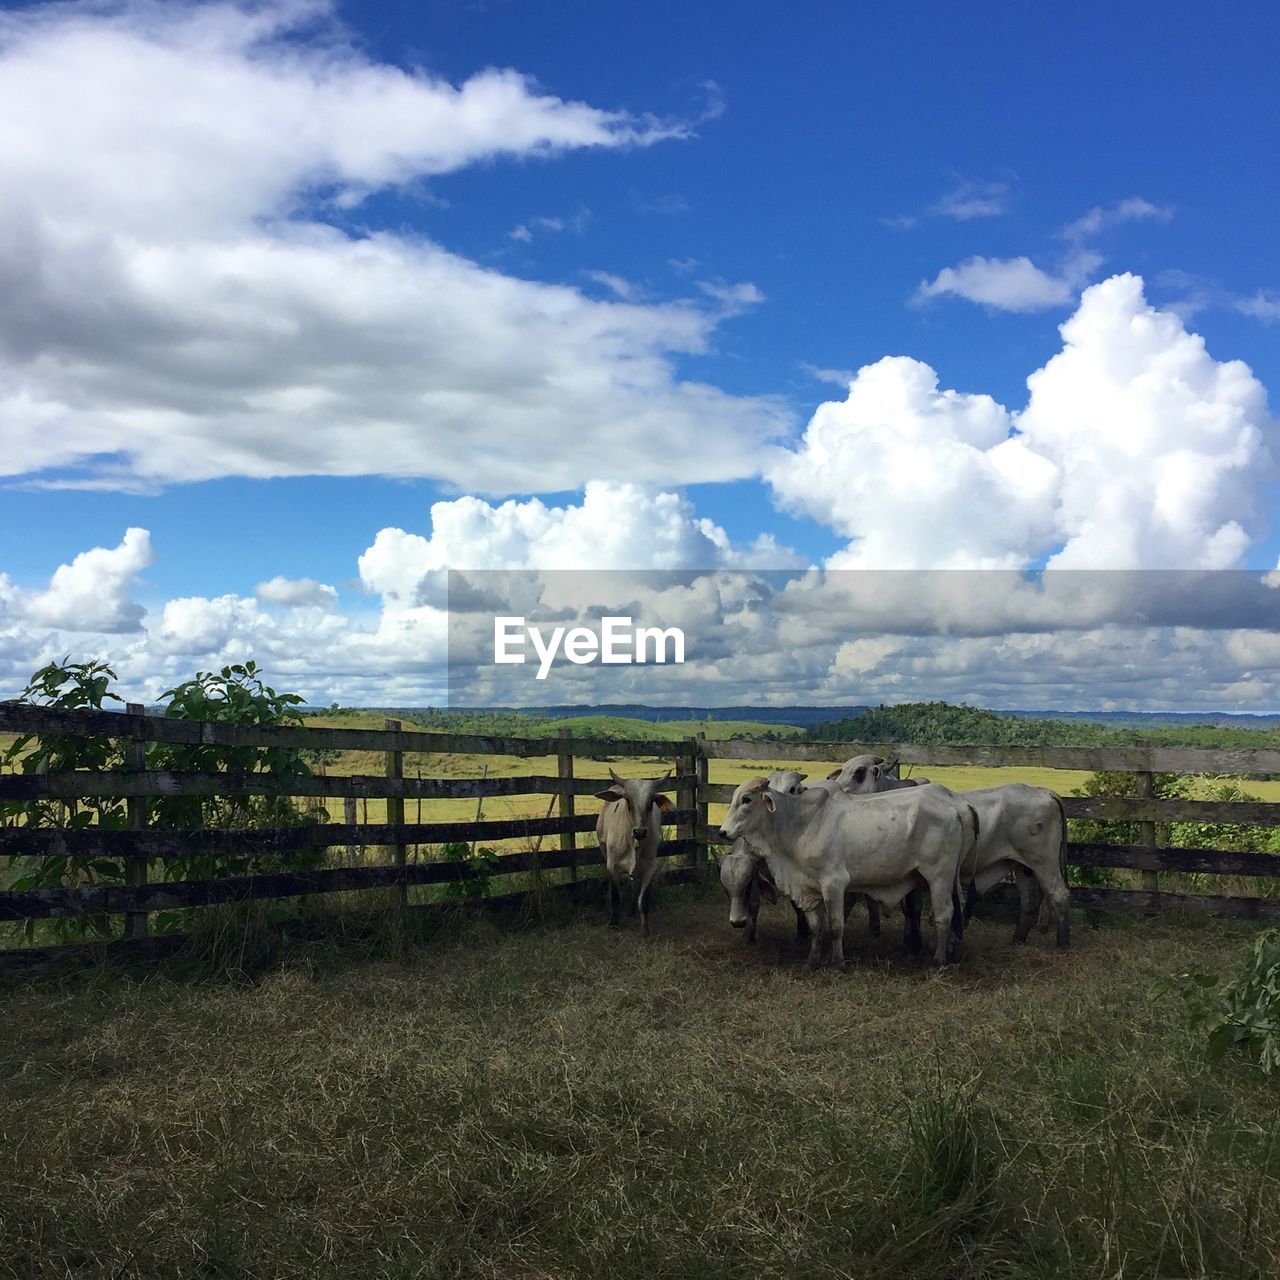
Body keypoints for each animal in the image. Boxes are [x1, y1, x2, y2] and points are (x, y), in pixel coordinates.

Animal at [593, 768, 675, 942]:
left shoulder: (650, 867)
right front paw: (613, 924)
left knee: (635, 885)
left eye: (651, 801)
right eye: (628, 800)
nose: (640, 831)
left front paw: (645, 930)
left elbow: (643, 901)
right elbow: (616, 897)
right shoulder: (612, 865)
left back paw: (631, 910)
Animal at [716, 778, 972, 967]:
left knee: (944, 914)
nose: (722, 832)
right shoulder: (809, 888)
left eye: (746, 799)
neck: (798, 824)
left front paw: (837, 961)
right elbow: (816, 926)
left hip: (939, 876)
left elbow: (836, 926)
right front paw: (812, 960)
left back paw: (939, 959)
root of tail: (955, 803)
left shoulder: (834, 883)